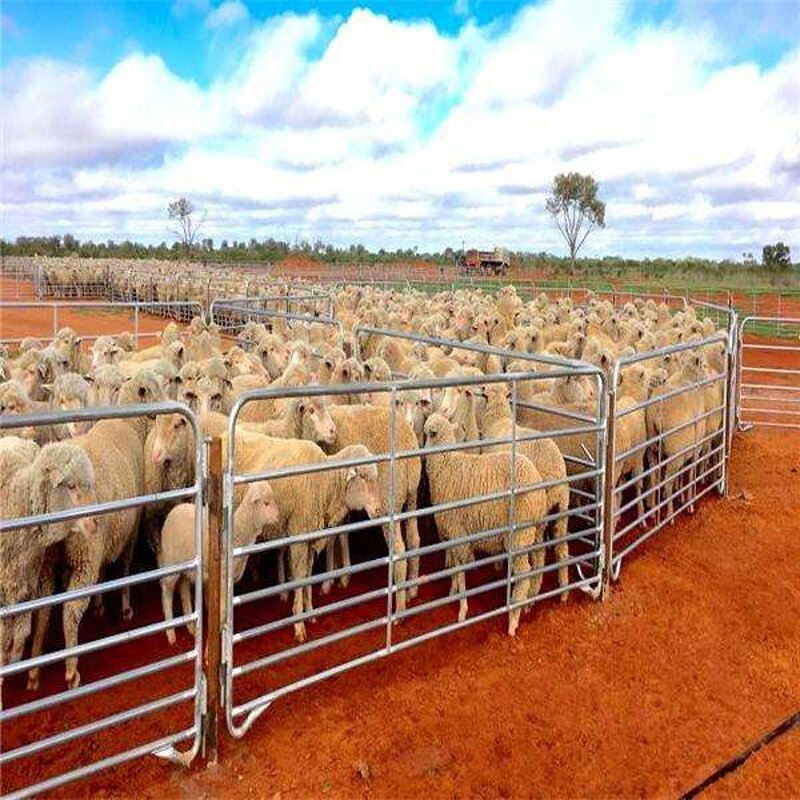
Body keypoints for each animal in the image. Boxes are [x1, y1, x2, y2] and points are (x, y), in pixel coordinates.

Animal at [158, 481, 280, 643]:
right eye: (266, 503)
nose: (278, 517)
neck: (239, 531)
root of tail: (174, 510)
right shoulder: (222, 578)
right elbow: (221, 611)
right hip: (171, 563)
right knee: (166, 591)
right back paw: (170, 632)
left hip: (188, 567)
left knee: (183, 589)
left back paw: (191, 628)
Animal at [422, 413, 547, 635]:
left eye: (428, 433)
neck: (445, 464)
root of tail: (536, 482)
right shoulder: (451, 535)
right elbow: (454, 568)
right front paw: (453, 591)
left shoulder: (458, 532)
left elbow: (460, 570)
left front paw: (462, 609)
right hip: (535, 531)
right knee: (539, 563)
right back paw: (530, 601)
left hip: (519, 533)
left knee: (524, 572)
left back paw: (513, 617)